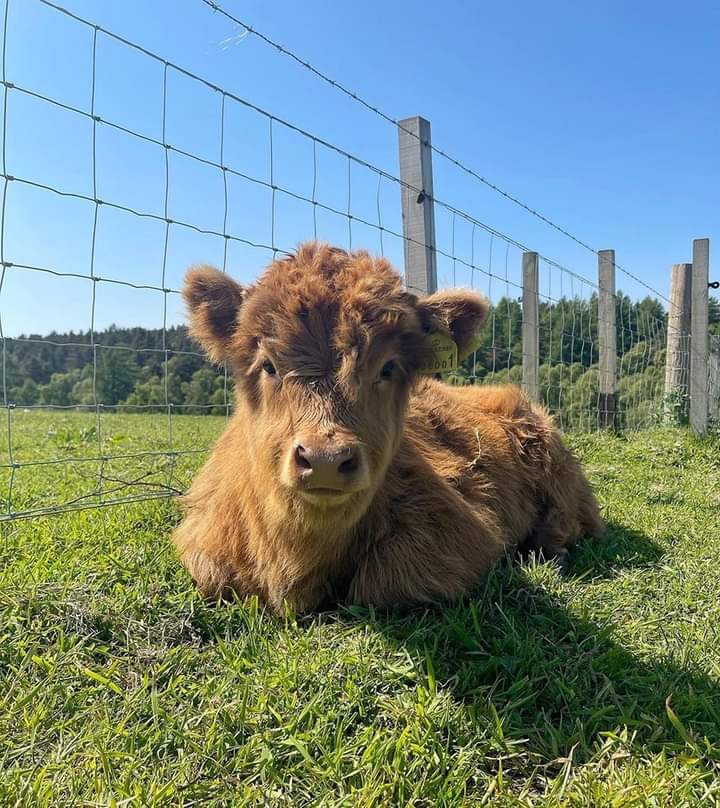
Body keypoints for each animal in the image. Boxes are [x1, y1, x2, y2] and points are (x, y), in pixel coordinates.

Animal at [173, 243, 600, 608]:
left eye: (388, 367)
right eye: (268, 365)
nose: (325, 459)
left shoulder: (463, 528)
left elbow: (384, 582)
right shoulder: (206, 544)